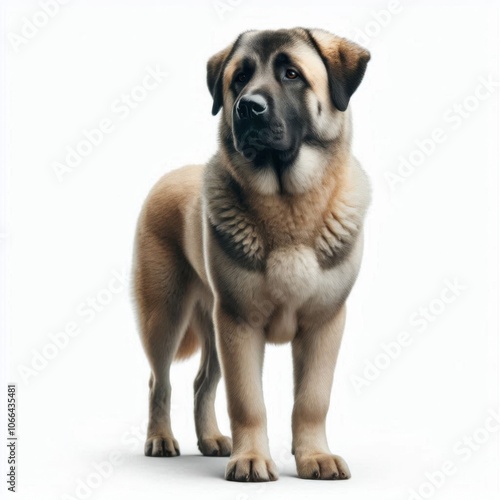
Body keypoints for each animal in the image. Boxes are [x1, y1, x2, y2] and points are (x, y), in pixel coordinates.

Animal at [134, 27, 372, 480]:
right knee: (159, 381)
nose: (248, 107)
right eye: (239, 78)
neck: (289, 206)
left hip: (210, 325)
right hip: (165, 317)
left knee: (201, 383)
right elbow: (246, 401)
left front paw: (314, 456)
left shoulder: (324, 323)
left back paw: (210, 439)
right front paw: (250, 460)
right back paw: (160, 439)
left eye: (291, 74)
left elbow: (312, 400)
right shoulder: (239, 324)